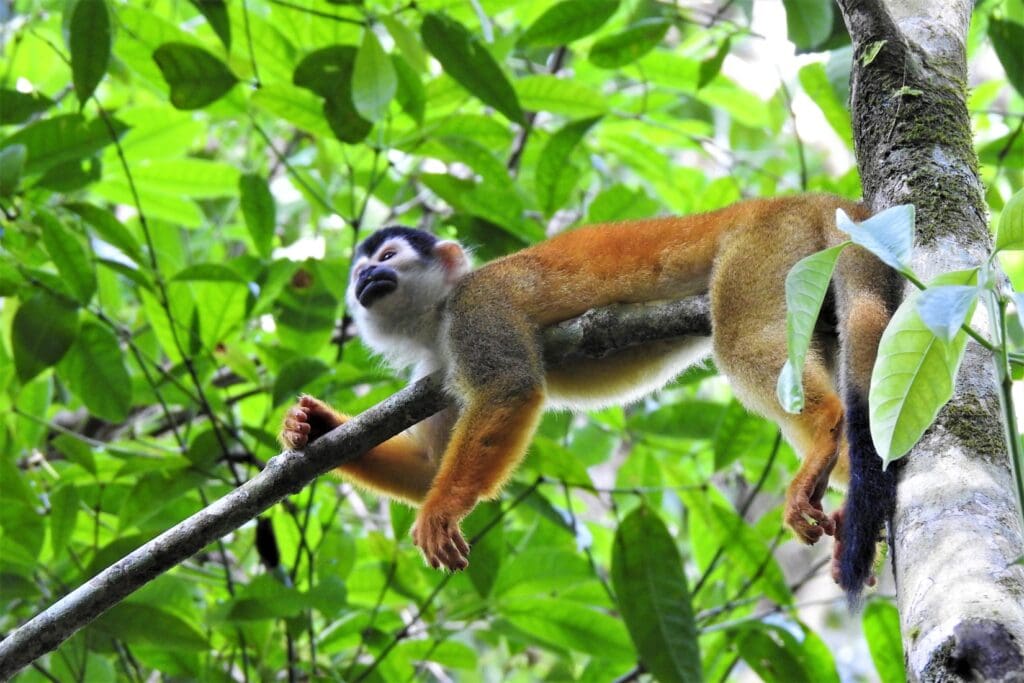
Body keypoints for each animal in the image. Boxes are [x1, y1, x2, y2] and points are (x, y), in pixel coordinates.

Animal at [280, 195, 902, 600]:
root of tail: (802, 197)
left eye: (386, 259)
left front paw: (441, 510)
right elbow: (430, 464)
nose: (365, 281)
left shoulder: (477, 310)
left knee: (743, 341)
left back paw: (824, 430)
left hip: (764, 248)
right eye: (359, 271)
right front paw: (309, 427)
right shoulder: (438, 369)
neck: (435, 319)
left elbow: (510, 388)